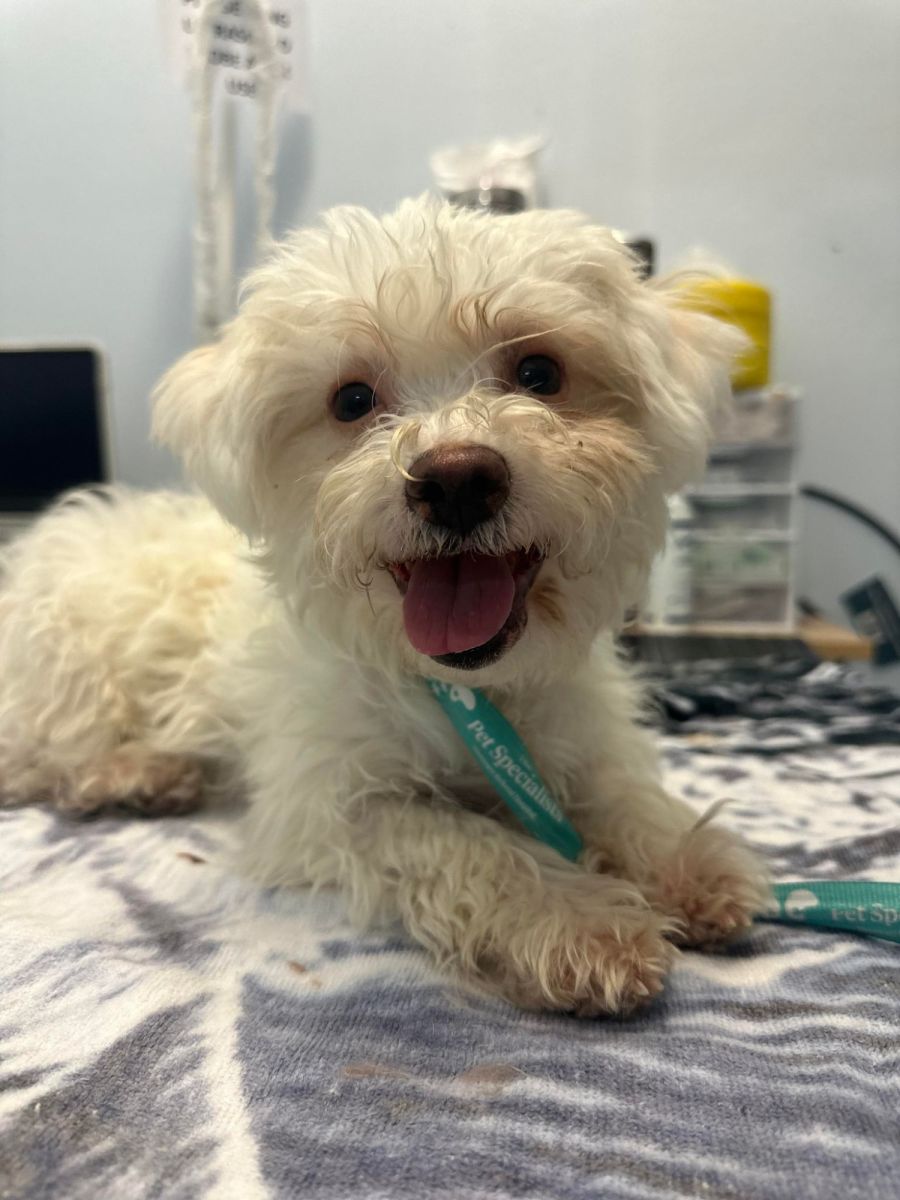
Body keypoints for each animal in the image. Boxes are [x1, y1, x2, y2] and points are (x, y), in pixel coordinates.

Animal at [0, 196, 768, 1015]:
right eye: (351, 400)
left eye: (539, 372)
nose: (457, 479)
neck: (469, 690)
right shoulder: (325, 802)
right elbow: (465, 844)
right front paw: (579, 921)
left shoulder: (581, 730)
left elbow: (624, 790)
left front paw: (690, 861)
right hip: (70, 658)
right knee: (30, 757)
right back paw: (133, 773)